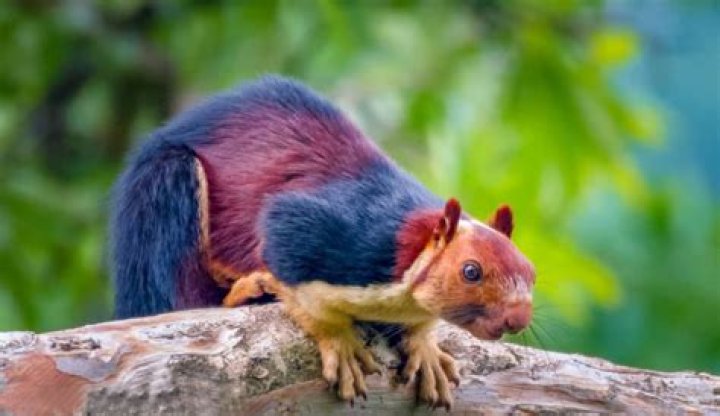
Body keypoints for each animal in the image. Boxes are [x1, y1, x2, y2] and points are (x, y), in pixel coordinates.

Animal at [111, 75, 535, 409]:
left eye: (532, 272)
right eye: (471, 271)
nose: (518, 318)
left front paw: (425, 347)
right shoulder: (329, 233)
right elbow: (297, 275)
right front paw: (339, 342)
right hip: (165, 194)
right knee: (178, 298)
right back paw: (248, 291)